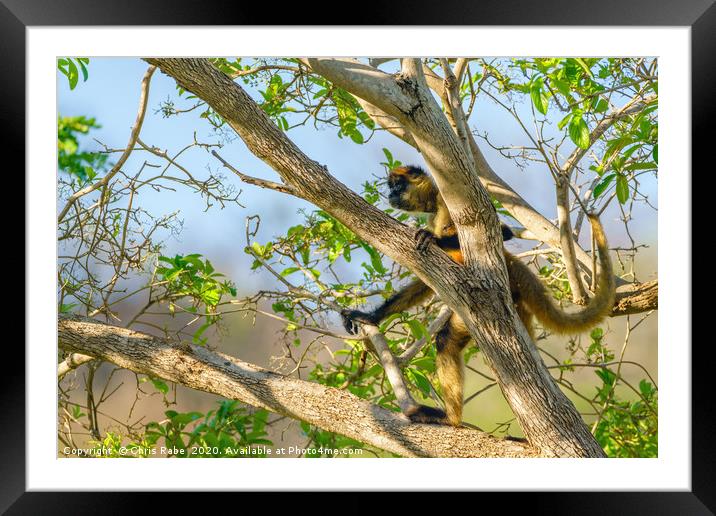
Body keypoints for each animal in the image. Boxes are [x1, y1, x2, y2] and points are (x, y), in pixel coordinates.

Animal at [342, 165, 616, 428]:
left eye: (396, 186)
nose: (389, 195)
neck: (435, 205)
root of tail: (510, 265)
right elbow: (425, 279)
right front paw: (370, 317)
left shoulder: (445, 200)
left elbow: (504, 232)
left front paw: (433, 239)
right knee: (447, 341)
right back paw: (451, 417)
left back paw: (450, 418)